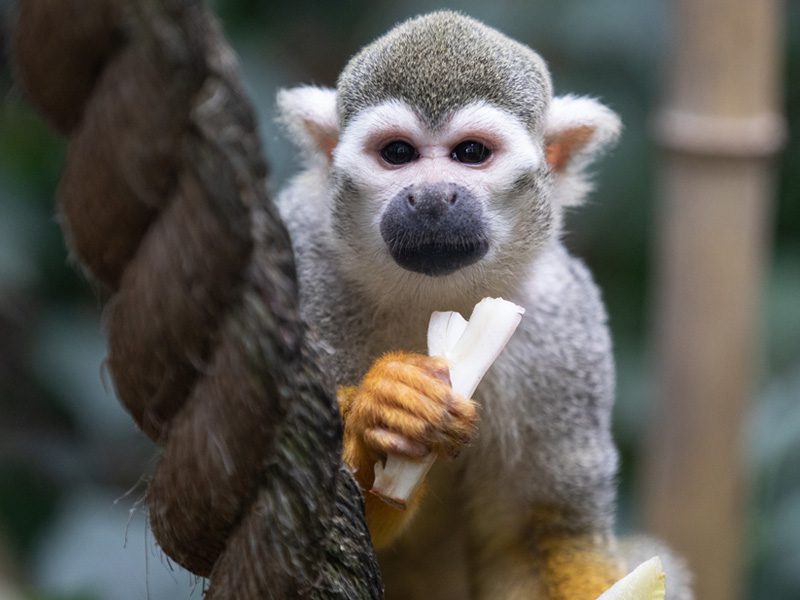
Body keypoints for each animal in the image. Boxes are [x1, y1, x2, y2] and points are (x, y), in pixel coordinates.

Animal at [276, 11, 692, 600]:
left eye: (470, 153)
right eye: (398, 154)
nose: (430, 198)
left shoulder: (566, 328)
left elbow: (541, 532)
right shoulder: (305, 264)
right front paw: (385, 411)